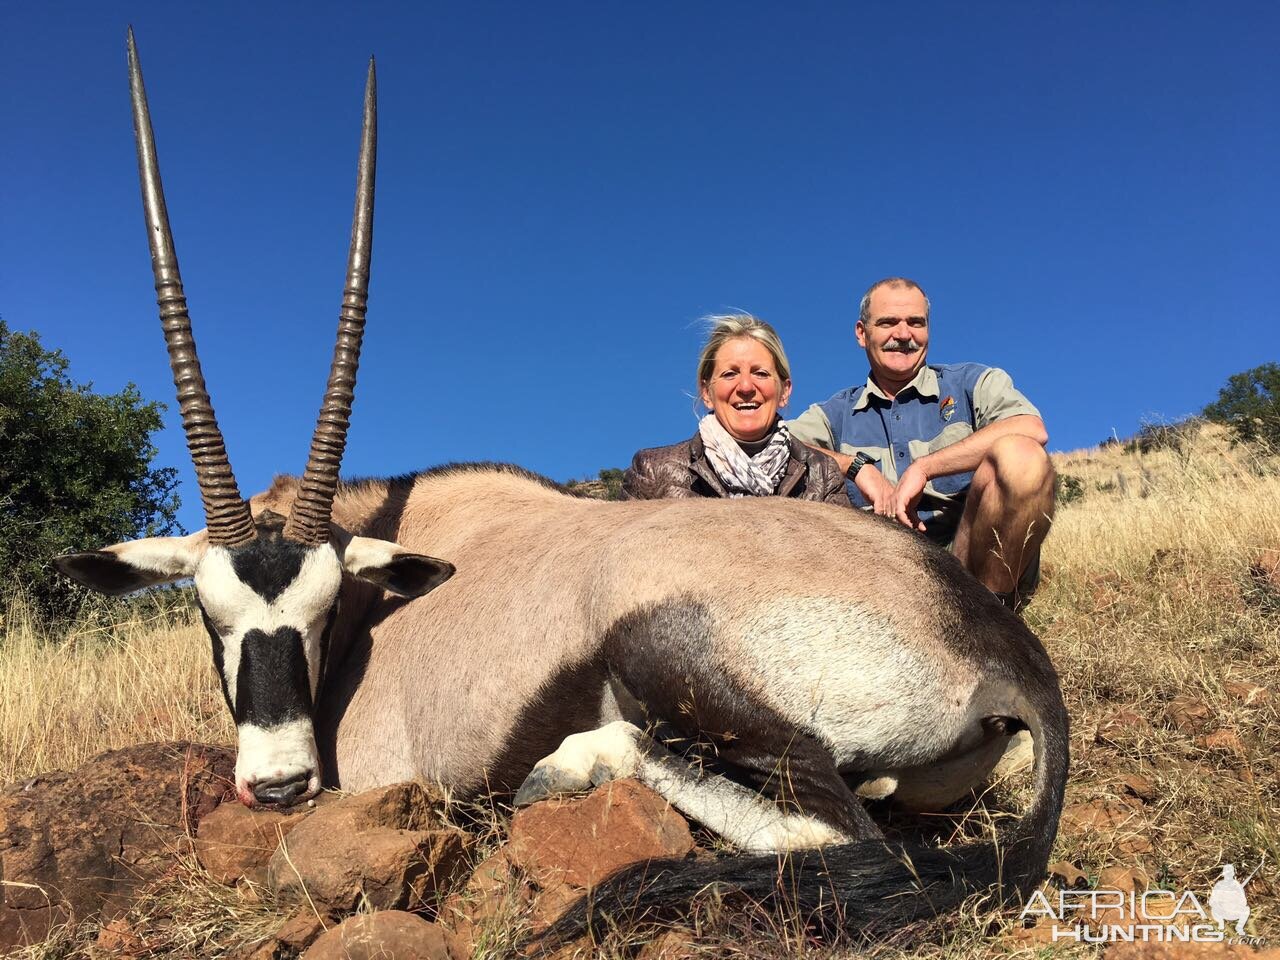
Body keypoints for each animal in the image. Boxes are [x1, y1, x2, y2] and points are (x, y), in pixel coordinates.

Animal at [55, 35, 1064, 942]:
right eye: (208, 611)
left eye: (325, 606)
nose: (278, 785)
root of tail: (993, 643)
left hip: (671, 655)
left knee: (845, 832)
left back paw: (567, 768)